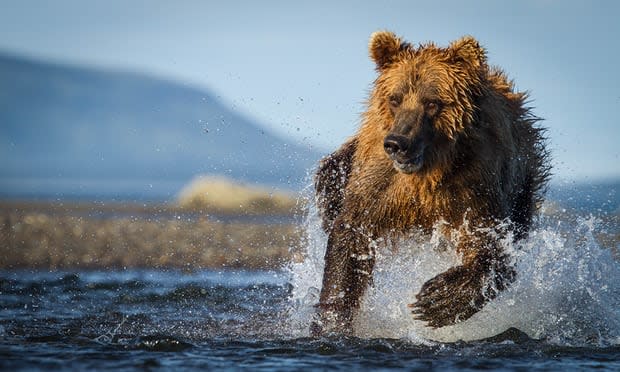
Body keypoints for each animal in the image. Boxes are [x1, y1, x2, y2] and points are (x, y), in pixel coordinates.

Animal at [312, 31, 548, 334]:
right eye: (395, 99)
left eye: (432, 102)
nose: (397, 143)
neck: (427, 173)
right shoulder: (381, 182)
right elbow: (352, 237)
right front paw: (332, 322)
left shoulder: (477, 185)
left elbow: (492, 245)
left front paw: (436, 300)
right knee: (330, 178)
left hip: (521, 185)